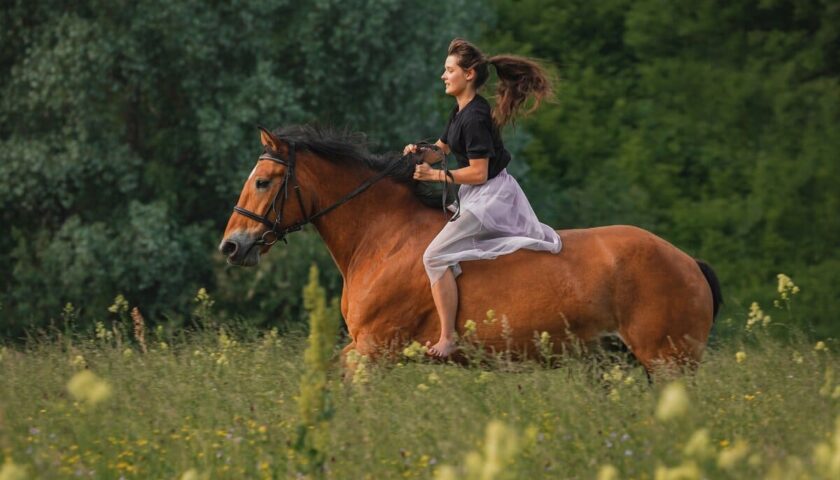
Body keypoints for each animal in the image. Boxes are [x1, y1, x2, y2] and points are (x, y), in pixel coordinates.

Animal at [219, 125, 722, 374]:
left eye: (262, 182)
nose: (230, 246)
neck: (381, 238)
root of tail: (689, 262)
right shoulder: (364, 348)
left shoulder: (373, 348)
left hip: (667, 361)